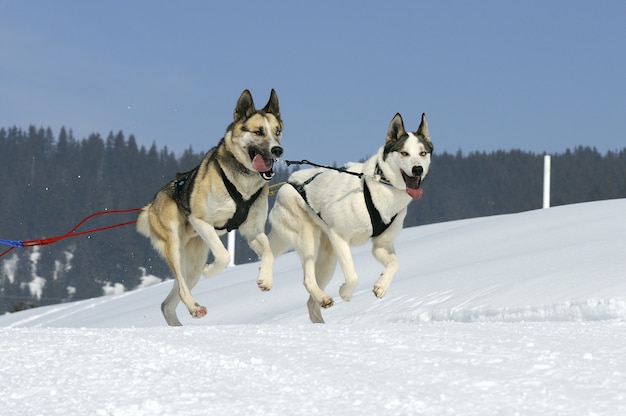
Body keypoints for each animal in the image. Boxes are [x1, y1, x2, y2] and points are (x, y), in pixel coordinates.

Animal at [138, 89, 282, 326]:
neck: (243, 184)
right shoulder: (201, 221)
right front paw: (211, 271)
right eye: (258, 131)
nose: (278, 150)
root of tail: (152, 203)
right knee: (181, 287)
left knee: (167, 304)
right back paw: (194, 306)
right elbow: (224, 256)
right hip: (175, 246)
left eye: (278, 131)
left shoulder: (253, 231)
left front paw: (265, 278)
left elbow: (269, 252)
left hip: (193, 263)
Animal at [260, 112, 432, 324]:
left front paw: (381, 286)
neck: (380, 186)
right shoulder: (339, 237)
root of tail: (287, 184)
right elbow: (353, 276)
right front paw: (346, 293)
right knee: (307, 279)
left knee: (310, 302)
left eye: (423, 153)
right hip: (308, 240)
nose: (418, 169)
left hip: (328, 260)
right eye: (404, 153)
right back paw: (320, 297)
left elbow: (395, 264)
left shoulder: (381, 245)